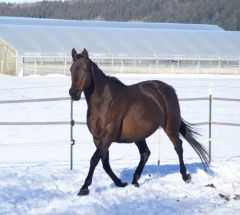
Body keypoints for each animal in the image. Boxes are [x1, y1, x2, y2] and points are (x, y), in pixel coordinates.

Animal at [69, 47, 208, 196]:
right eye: (71, 69)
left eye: (85, 70)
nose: (73, 93)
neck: (104, 102)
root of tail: (169, 89)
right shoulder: (97, 139)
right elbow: (105, 163)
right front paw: (120, 183)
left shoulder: (108, 137)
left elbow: (94, 159)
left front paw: (84, 187)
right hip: (138, 135)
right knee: (145, 153)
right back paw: (135, 180)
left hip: (170, 128)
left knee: (178, 147)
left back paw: (185, 176)